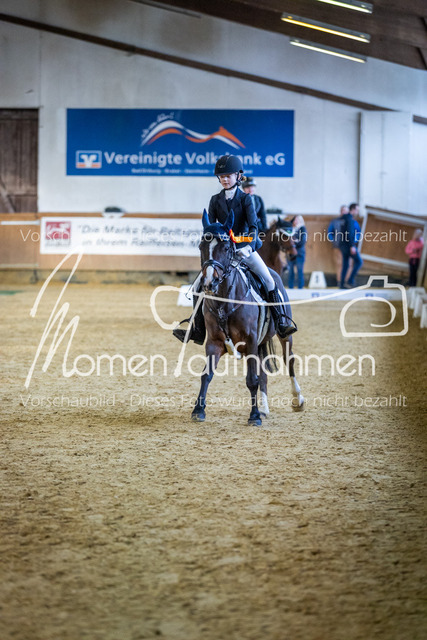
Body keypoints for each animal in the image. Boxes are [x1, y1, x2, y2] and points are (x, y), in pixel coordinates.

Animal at [190, 210, 304, 426]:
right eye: (201, 246)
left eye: (227, 247)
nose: (209, 283)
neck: (224, 302)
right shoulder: (214, 342)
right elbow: (206, 375)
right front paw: (198, 410)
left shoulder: (250, 341)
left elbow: (252, 380)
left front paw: (254, 416)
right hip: (260, 344)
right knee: (264, 374)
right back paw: (265, 409)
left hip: (284, 336)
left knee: (289, 360)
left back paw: (297, 400)